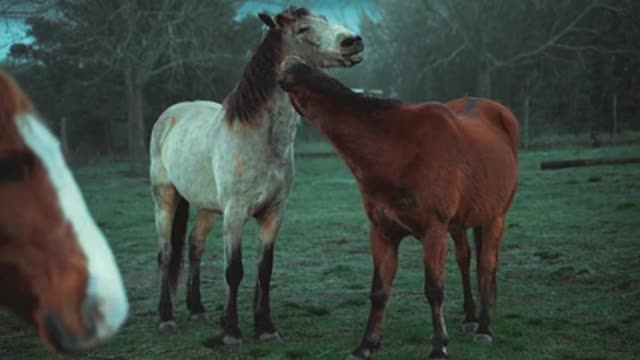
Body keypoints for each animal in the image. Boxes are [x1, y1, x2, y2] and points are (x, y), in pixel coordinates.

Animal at [148, 5, 362, 344]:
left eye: (324, 20)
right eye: (303, 29)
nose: (352, 42)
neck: (258, 137)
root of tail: (170, 115)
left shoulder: (273, 213)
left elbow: (265, 269)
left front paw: (265, 327)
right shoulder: (235, 214)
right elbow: (234, 270)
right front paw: (231, 331)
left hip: (208, 207)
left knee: (195, 245)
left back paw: (196, 310)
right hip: (165, 198)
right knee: (167, 254)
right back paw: (166, 318)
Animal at [280, 57, 520, 358]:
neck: (398, 150)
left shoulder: (433, 232)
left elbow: (434, 289)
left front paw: (439, 346)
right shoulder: (383, 232)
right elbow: (379, 291)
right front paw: (367, 345)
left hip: (496, 216)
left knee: (487, 264)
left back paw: (485, 328)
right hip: (461, 223)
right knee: (465, 260)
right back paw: (470, 318)